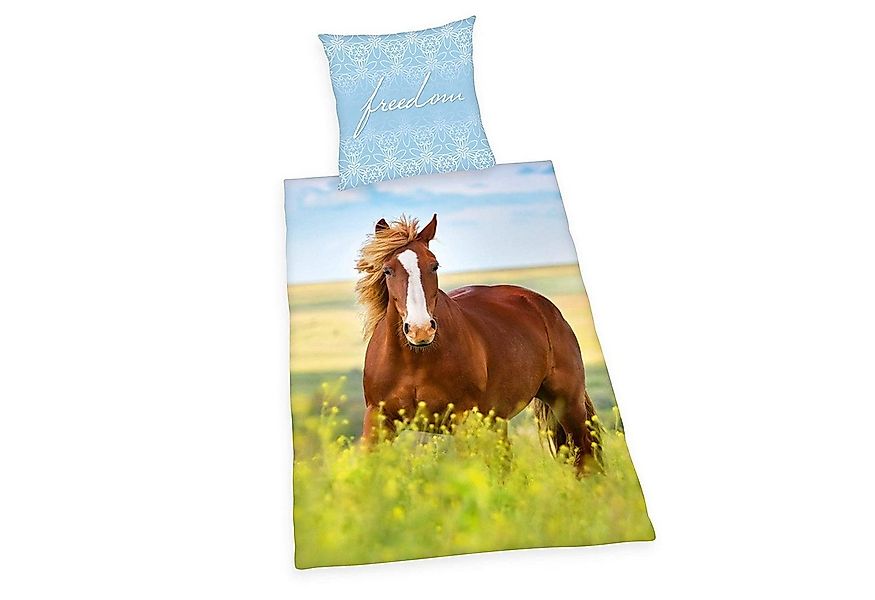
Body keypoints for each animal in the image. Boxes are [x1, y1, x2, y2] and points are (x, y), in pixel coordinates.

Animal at [355, 214, 602, 473]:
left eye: (434, 266)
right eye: (387, 270)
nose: (420, 329)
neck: (416, 360)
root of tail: (541, 305)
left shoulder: (463, 420)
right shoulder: (378, 420)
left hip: (568, 403)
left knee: (585, 454)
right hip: (499, 420)